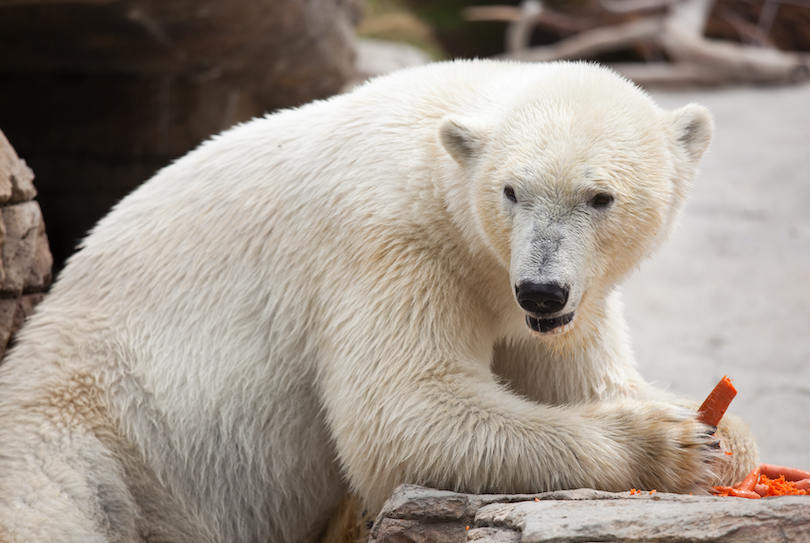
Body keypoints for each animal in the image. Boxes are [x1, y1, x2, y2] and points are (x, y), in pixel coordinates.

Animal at [1, 60, 756, 543]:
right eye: (512, 191)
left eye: (600, 197)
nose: (542, 288)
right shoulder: (389, 246)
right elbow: (405, 410)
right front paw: (675, 442)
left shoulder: (558, 301)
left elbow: (584, 376)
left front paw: (728, 440)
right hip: (94, 429)